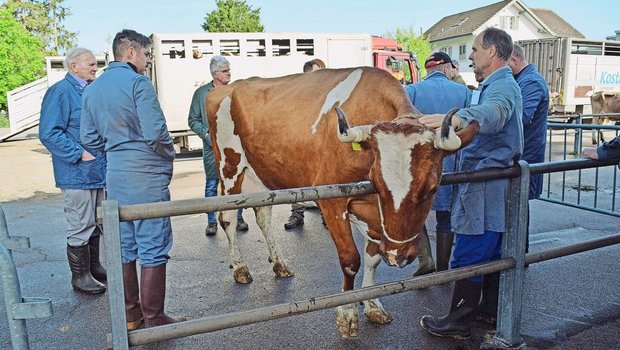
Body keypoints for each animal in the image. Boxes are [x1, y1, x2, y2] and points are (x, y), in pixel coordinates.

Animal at [206, 67, 478, 338]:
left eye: (432, 189)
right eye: (377, 183)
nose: (398, 256)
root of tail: (226, 87)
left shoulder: (376, 216)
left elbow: (372, 258)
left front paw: (372, 304)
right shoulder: (332, 201)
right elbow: (351, 260)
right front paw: (347, 316)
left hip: (261, 176)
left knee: (263, 216)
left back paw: (280, 263)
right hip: (230, 169)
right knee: (227, 219)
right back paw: (240, 268)